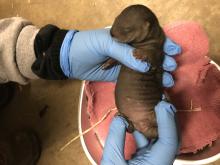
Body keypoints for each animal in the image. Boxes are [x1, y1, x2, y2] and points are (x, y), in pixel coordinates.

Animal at [106, 4, 165, 138]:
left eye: (127, 29)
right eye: (116, 18)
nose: (111, 33)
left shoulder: (158, 50)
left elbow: (152, 57)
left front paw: (140, 54)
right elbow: (116, 59)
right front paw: (106, 64)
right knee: (132, 129)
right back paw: (122, 117)